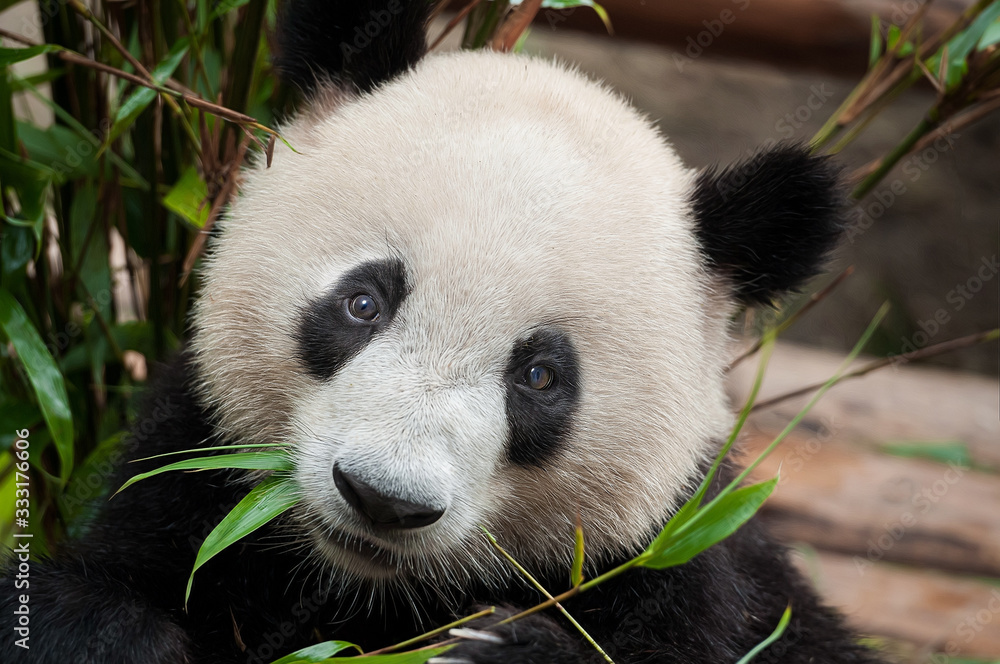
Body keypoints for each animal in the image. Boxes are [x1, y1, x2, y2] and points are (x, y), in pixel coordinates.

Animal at [1, 1, 886, 663]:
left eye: (539, 376)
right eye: (364, 303)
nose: (383, 500)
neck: (357, 585)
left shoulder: (667, 568)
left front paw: (493, 650)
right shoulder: (193, 472)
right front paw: (115, 637)